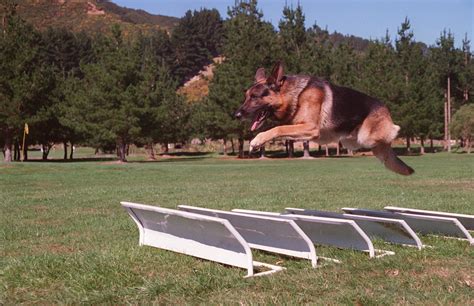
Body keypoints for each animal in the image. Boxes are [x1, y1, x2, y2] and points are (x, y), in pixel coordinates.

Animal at [235, 61, 412, 175]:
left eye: (255, 97)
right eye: (246, 96)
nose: (236, 115)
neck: (295, 95)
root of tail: (384, 107)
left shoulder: (310, 128)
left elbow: (278, 128)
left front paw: (257, 140)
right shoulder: (301, 129)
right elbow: (283, 131)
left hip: (366, 136)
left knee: (393, 131)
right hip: (353, 141)